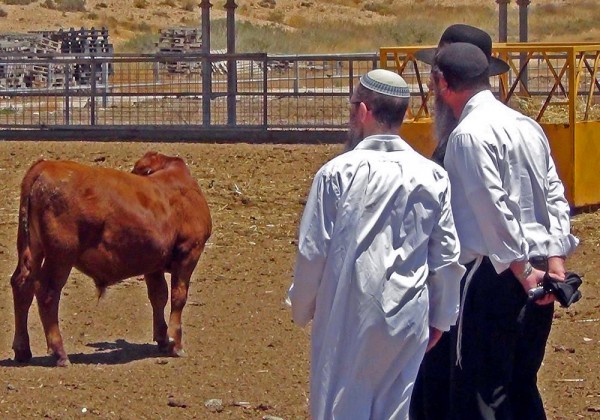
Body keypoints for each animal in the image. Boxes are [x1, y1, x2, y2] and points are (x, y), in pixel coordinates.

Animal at [9, 152, 212, 368]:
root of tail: (45, 166)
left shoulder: (153, 262)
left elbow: (159, 296)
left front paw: (163, 339)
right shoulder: (189, 252)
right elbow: (178, 296)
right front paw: (175, 343)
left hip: (33, 249)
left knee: (22, 285)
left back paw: (22, 350)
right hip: (61, 255)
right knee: (47, 293)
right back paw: (60, 353)